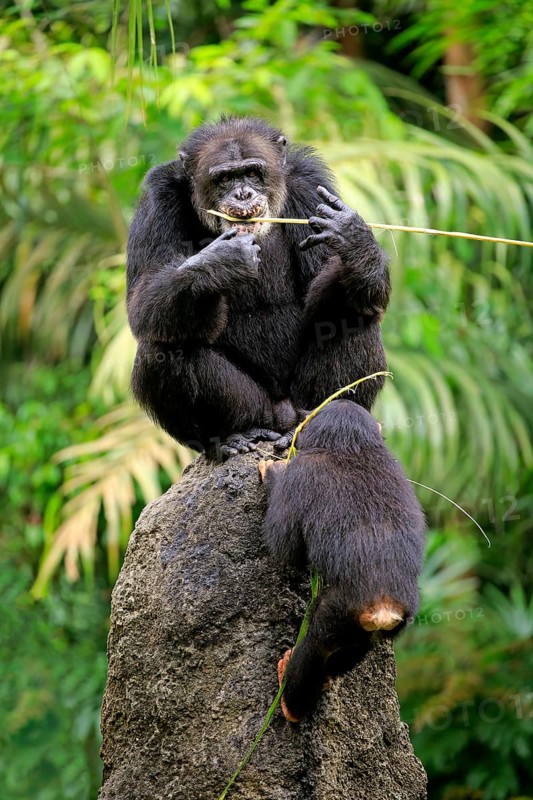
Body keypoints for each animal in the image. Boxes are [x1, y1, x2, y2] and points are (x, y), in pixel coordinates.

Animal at [126, 116, 391, 458]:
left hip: (299, 399)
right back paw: (228, 436)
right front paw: (221, 262)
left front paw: (354, 239)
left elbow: (321, 293)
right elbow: (143, 296)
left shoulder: (311, 188)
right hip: (253, 407)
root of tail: (281, 418)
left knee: (354, 313)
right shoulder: (157, 204)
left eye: (252, 172)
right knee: (162, 345)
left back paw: (319, 419)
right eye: (225, 178)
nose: (242, 194)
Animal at [259, 399, 426, 722]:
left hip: (339, 614)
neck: (350, 446)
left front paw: (273, 471)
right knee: (353, 650)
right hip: (381, 624)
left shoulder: (302, 475)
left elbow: (284, 545)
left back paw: (292, 701)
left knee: (314, 645)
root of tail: (384, 607)